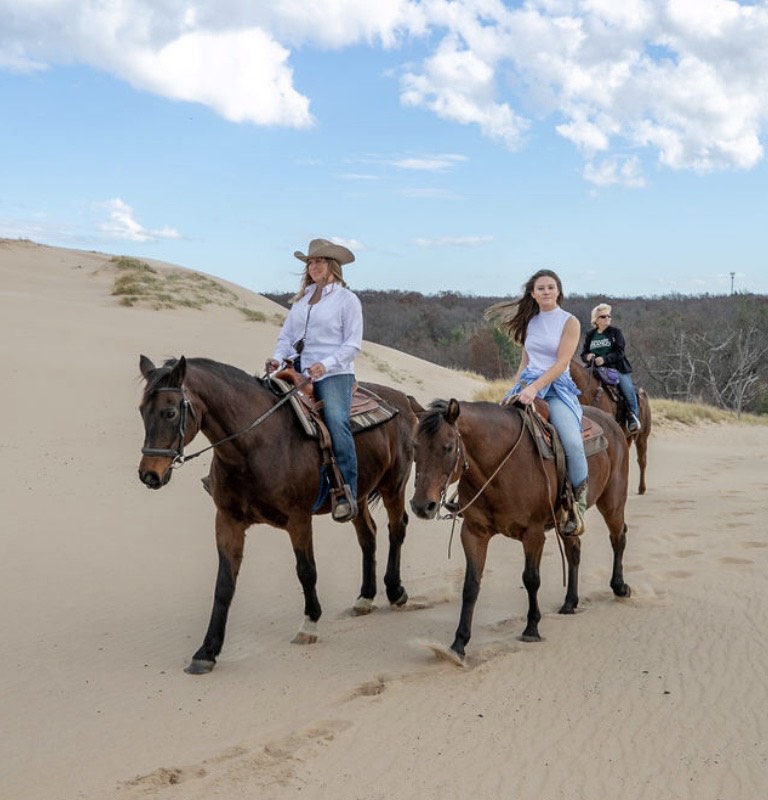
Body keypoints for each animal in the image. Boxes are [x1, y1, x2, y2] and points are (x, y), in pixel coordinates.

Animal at [135, 356, 416, 676]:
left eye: (170, 412)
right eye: (142, 410)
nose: (149, 475)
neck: (255, 444)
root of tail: (402, 399)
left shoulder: (299, 519)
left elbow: (306, 571)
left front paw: (309, 624)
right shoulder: (228, 521)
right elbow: (224, 585)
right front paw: (207, 651)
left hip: (393, 486)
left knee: (397, 529)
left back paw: (395, 590)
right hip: (357, 496)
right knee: (368, 536)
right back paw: (365, 597)